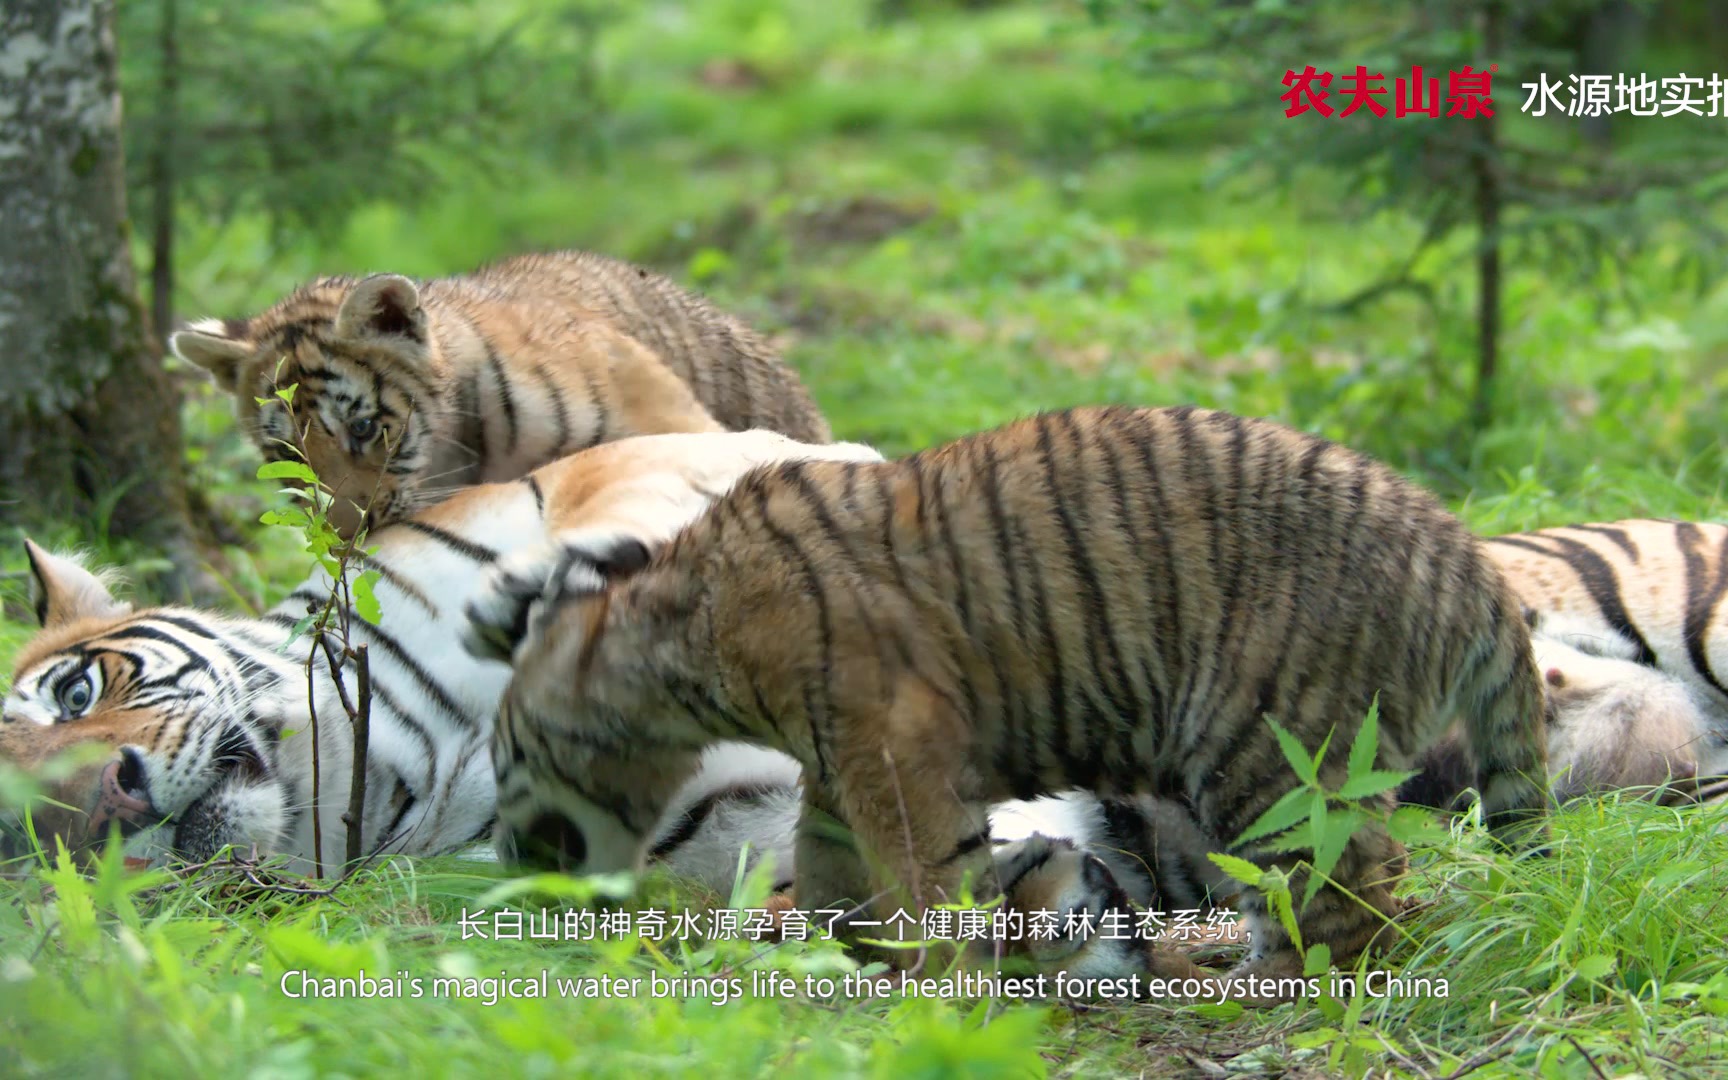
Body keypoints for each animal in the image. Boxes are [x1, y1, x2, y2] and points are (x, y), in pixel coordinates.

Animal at [473, 402, 1555, 1002]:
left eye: (505, 770)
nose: (509, 864)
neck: (673, 646)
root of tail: (1462, 556)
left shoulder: (895, 759)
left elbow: (927, 882)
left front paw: (940, 992)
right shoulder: (837, 771)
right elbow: (830, 878)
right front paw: (853, 959)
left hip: (1271, 756)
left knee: (1354, 894)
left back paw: (1256, 989)